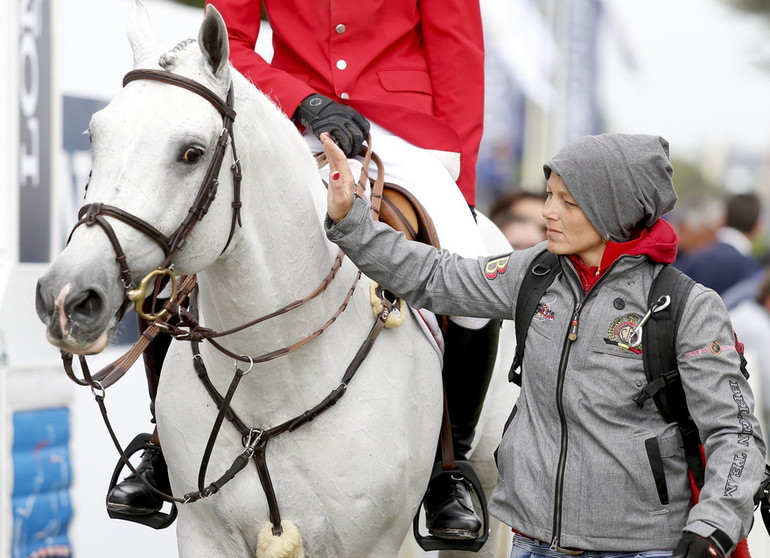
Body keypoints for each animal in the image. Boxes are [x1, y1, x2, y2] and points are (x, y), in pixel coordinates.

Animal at [36, 2, 516, 556]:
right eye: (95, 137)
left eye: (191, 153)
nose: (67, 297)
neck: (270, 368)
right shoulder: (204, 536)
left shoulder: (372, 542)